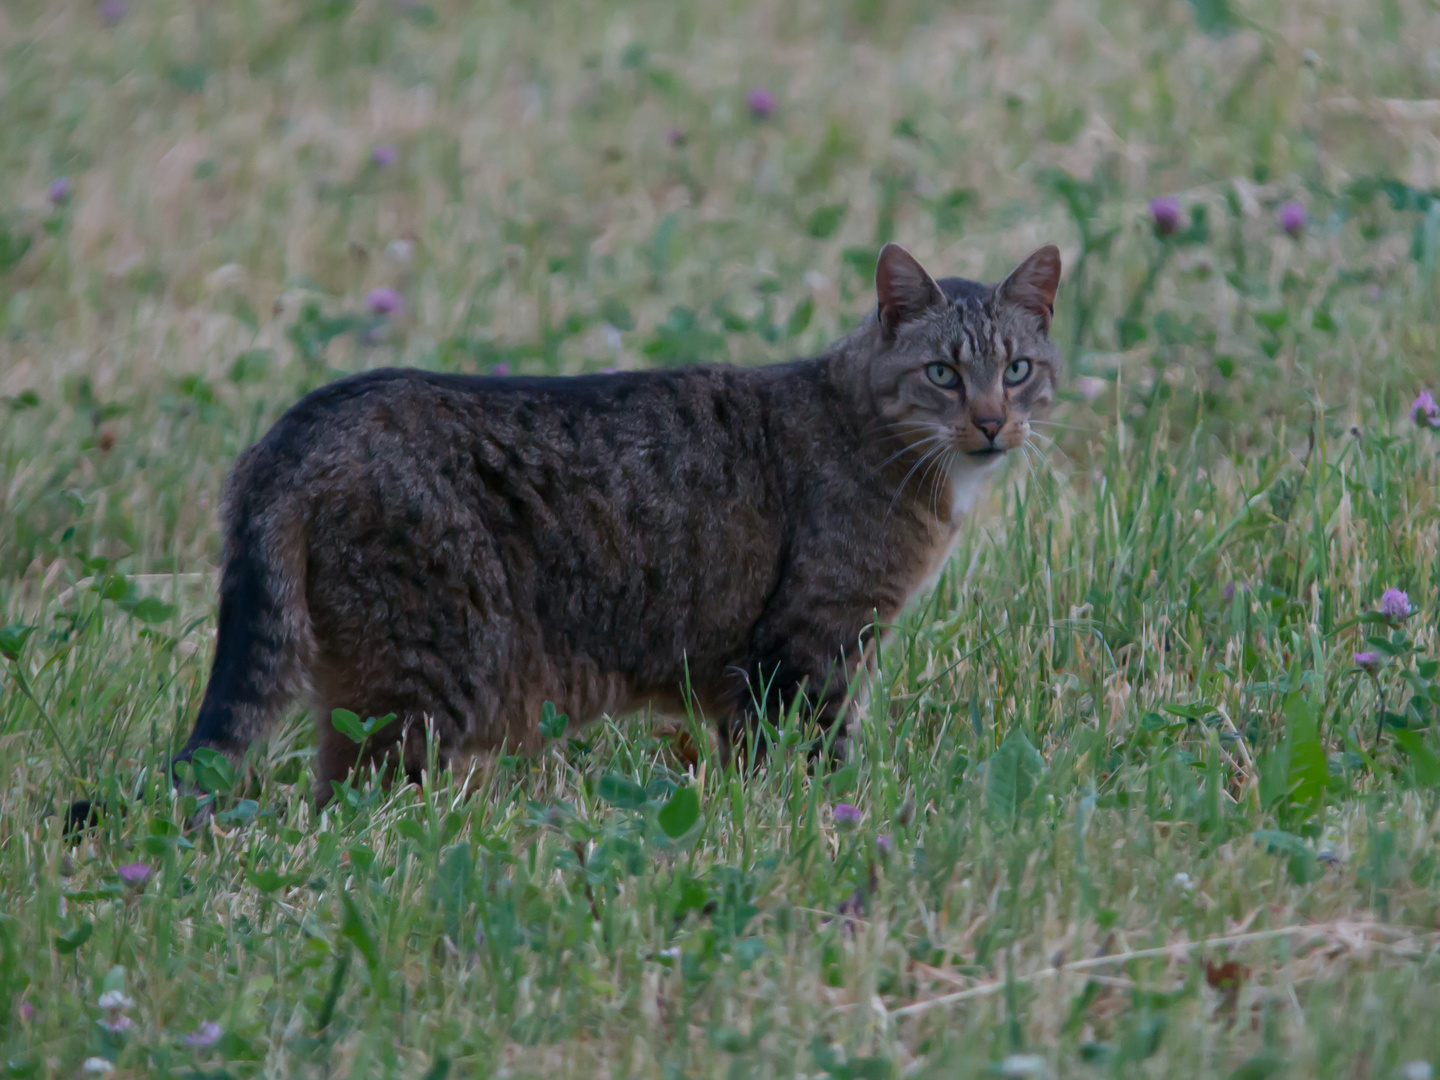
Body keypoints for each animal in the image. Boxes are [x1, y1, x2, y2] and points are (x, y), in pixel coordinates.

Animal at [174, 244, 1065, 806]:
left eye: (1019, 370)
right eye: (943, 374)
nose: (992, 422)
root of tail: (296, 428)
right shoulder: (808, 652)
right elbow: (805, 765)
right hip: (424, 676)